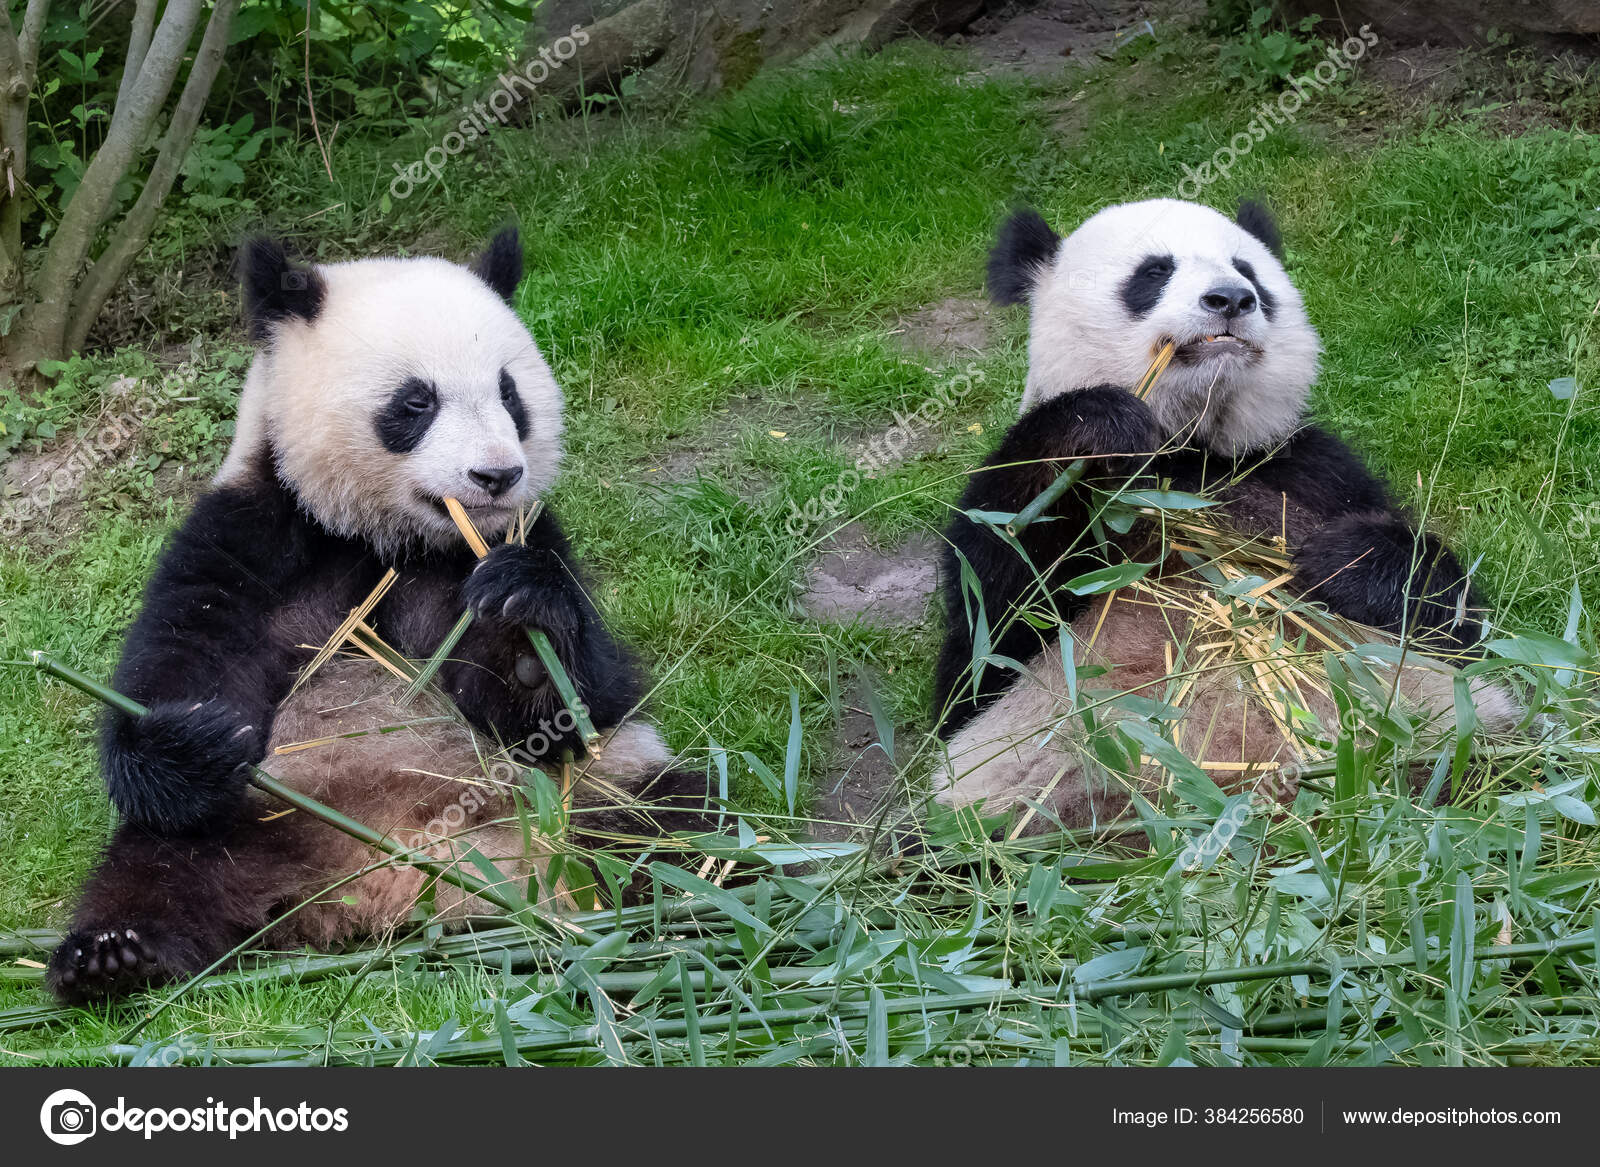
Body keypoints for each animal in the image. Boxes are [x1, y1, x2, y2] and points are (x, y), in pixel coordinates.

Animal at [48, 228, 712, 1002]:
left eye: (509, 393)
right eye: (415, 401)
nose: (496, 475)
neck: (388, 537)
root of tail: (390, 885)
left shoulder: (529, 536)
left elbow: (576, 705)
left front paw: (523, 628)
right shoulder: (245, 538)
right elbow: (174, 672)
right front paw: (197, 736)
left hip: (583, 795)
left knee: (672, 823)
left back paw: (701, 901)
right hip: (258, 812)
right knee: (160, 863)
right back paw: (115, 956)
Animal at [931, 197, 1519, 827]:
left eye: (1248, 270)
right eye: (1153, 272)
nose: (1232, 299)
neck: (1192, 446)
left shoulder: (1308, 468)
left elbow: (1455, 621)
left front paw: (1340, 561)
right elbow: (986, 643)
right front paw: (1098, 426)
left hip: (1461, 742)